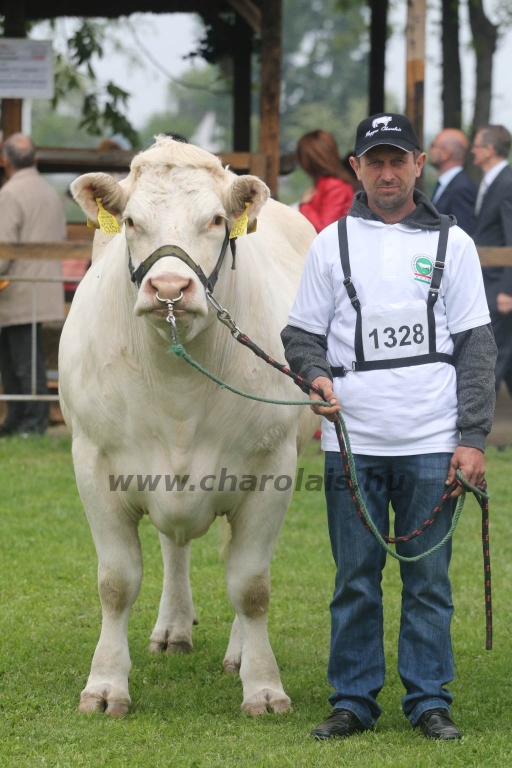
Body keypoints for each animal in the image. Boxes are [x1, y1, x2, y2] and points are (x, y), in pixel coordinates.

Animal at [62, 138, 318, 720]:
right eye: (131, 221)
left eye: (217, 220)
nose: (170, 287)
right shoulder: (94, 464)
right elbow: (116, 582)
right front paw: (105, 685)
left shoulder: (273, 471)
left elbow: (250, 585)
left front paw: (262, 686)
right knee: (173, 548)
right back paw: (173, 628)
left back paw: (237, 654)